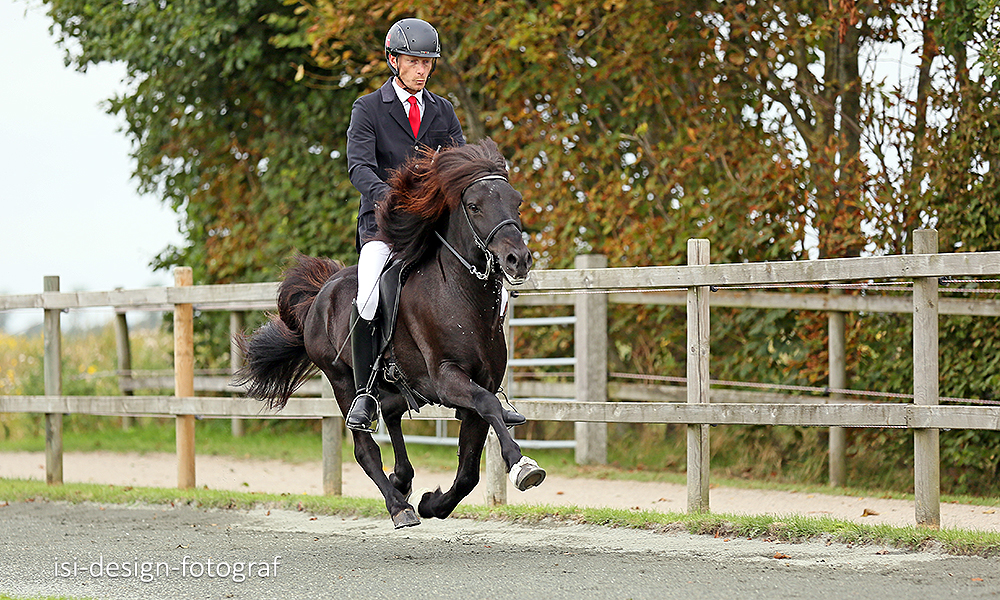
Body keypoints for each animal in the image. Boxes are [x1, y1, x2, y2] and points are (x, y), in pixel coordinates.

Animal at [234, 138, 548, 528]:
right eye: (474, 206)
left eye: (516, 201)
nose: (517, 260)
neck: (462, 298)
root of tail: (321, 293)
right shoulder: (448, 379)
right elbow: (488, 408)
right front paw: (524, 466)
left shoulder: (481, 384)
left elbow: (468, 471)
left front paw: (433, 503)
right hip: (341, 380)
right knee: (364, 447)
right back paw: (398, 505)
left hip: (393, 385)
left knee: (393, 415)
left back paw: (403, 482)